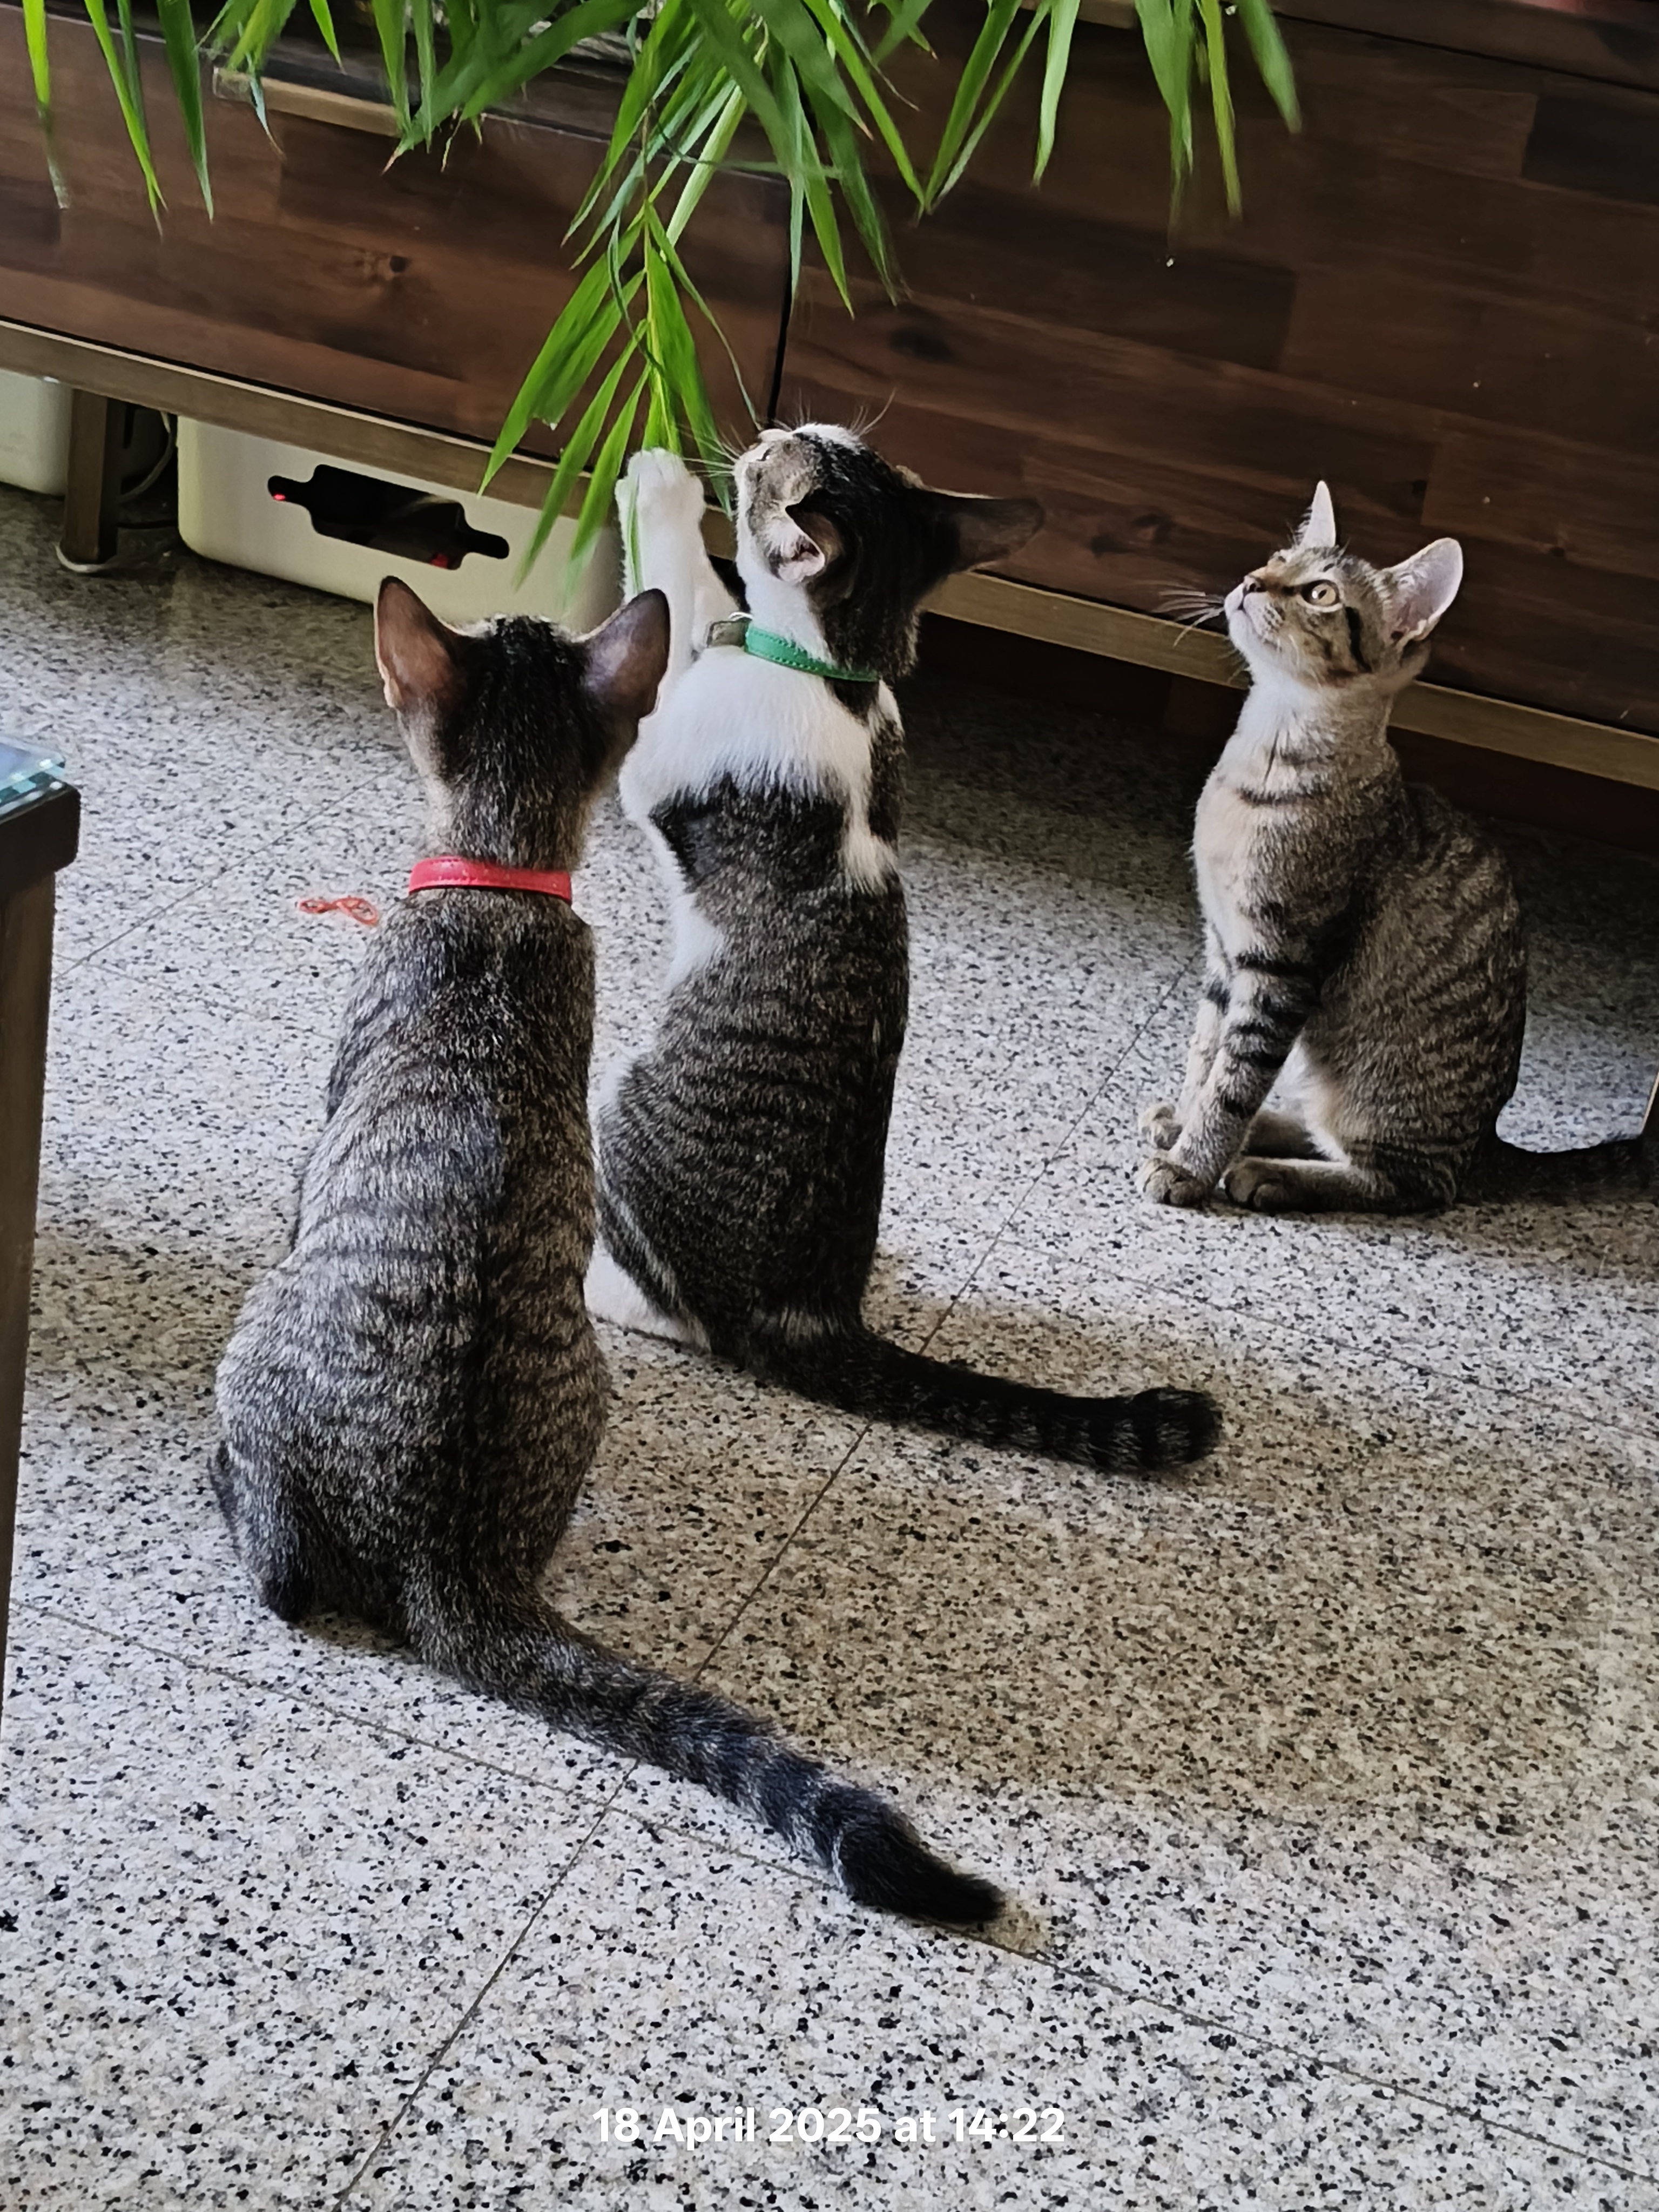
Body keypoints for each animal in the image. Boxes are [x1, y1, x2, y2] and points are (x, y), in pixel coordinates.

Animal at [211, 575, 998, 1926]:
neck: (502, 887)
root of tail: (447, 1556)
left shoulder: (326, 1126)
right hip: (590, 1384)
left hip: (260, 1328)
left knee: (280, 1576)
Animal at [587, 434, 1220, 1472]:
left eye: (772, 464)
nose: (761, 438)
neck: (828, 675)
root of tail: (815, 1312)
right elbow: (708, 607)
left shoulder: (663, 756)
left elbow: (675, 598)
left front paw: (659, 488)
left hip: (625, 1104)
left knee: (679, 1313)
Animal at [1141, 482, 1654, 1212]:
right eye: (1276, 559)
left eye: (1321, 593)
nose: (1249, 580)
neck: (1263, 758)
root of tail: (1486, 1144)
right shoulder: (1221, 951)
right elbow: (1206, 1057)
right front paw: (1187, 1123)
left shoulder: (1281, 968)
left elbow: (1234, 1080)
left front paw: (1192, 1165)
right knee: (1323, 1128)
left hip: (1375, 1090)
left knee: (1409, 1184)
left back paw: (1270, 1172)